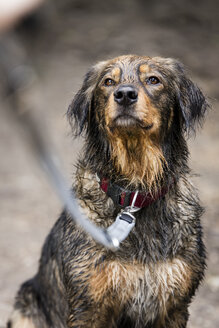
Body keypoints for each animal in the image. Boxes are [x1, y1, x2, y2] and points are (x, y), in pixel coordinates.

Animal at [8, 55, 207, 326]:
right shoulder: (87, 303)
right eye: (108, 82)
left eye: (153, 80)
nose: (124, 95)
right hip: (25, 305)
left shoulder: (175, 305)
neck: (134, 194)